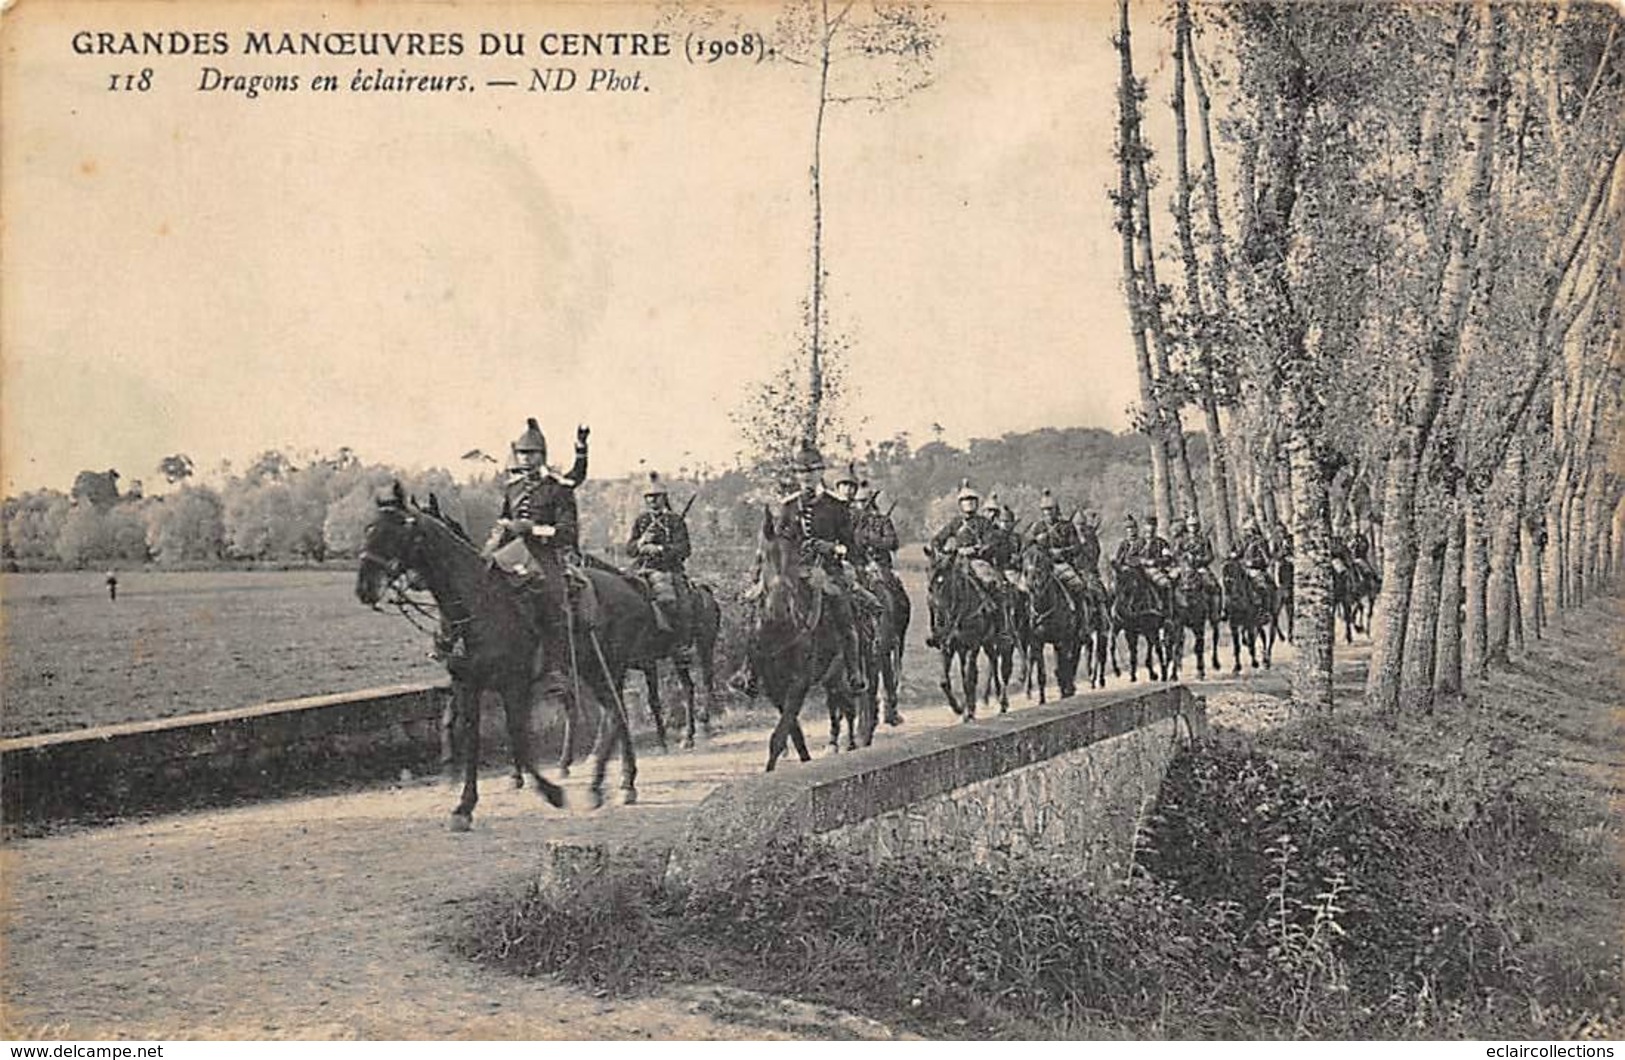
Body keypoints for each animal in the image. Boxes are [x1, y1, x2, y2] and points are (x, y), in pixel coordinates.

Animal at [355, 487, 659, 829]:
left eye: (397, 530)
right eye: (368, 529)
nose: (364, 588)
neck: (479, 605)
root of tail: (629, 583)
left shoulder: (514, 685)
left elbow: (519, 739)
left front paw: (551, 791)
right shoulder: (467, 684)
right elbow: (466, 734)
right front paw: (463, 804)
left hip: (606, 667)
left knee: (615, 714)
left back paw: (604, 784)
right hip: (594, 669)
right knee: (613, 714)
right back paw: (615, 782)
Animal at [750, 507, 864, 770]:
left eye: (795, 560)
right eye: (763, 557)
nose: (778, 609)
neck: (779, 630)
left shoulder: (799, 681)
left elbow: (780, 735)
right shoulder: (773, 687)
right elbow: (793, 731)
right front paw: (800, 759)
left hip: (838, 672)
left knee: (848, 706)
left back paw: (850, 744)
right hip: (831, 679)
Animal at [1020, 546, 1085, 702]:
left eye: (1041, 561)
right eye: (1024, 562)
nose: (1032, 584)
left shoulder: (1062, 640)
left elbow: (1063, 666)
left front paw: (1066, 691)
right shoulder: (1037, 642)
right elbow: (1042, 674)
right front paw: (1042, 700)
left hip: (1073, 638)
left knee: (1071, 659)